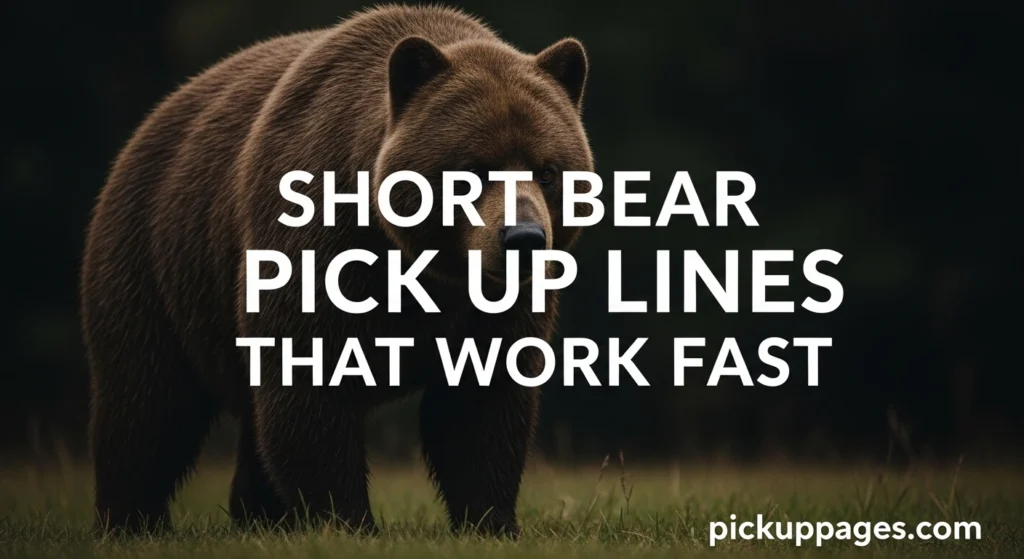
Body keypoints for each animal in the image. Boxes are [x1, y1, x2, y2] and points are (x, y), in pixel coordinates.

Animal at [80, 4, 593, 537]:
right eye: (472, 169)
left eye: (548, 170)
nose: (523, 238)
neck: (415, 264)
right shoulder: (314, 244)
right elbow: (310, 393)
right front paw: (348, 521)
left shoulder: (493, 306)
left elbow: (481, 406)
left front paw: (490, 522)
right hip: (156, 262)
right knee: (146, 404)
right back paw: (131, 521)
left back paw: (260, 518)